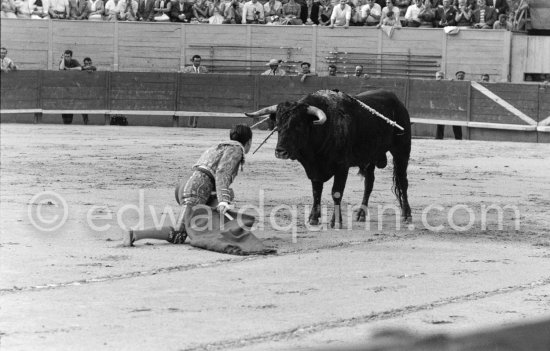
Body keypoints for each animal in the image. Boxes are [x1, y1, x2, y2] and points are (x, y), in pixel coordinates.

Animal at [247, 89, 414, 228]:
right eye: (278, 125)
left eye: (298, 125)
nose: (280, 151)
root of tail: (397, 101)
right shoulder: (314, 169)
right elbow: (316, 191)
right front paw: (313, 218)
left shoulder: (342, 167)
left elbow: (336, 192)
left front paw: (337, 222)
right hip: (370, 156)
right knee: (369, 183)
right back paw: (361, 214)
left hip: (402, 150)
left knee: (403, 181)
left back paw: (407, 215)